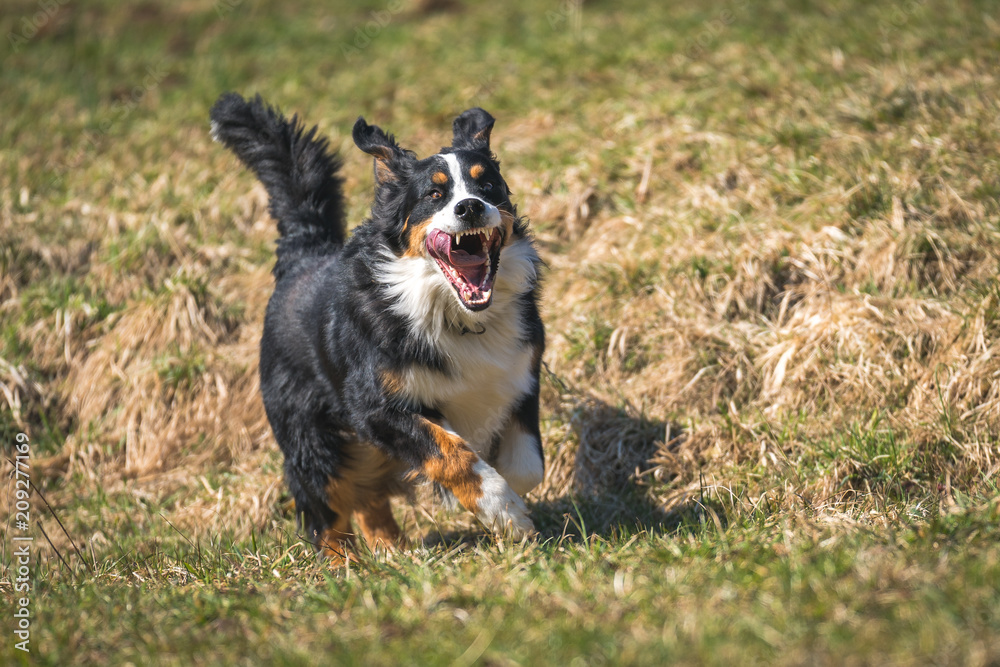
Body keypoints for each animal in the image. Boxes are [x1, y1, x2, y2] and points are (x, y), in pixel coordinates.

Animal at [206, 91, 544, 556]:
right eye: (434, 193)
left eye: (488, 185)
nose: (471, 206)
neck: (456, 314)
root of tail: (304, 253)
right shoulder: (374, 405)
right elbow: (454, 453)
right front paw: (504, 511)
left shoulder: (520, 374)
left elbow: (527, 466)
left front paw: (512, 506)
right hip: (315, 439)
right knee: (328, 512)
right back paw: (348, 564)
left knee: (368, 498)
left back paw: (393, 555)